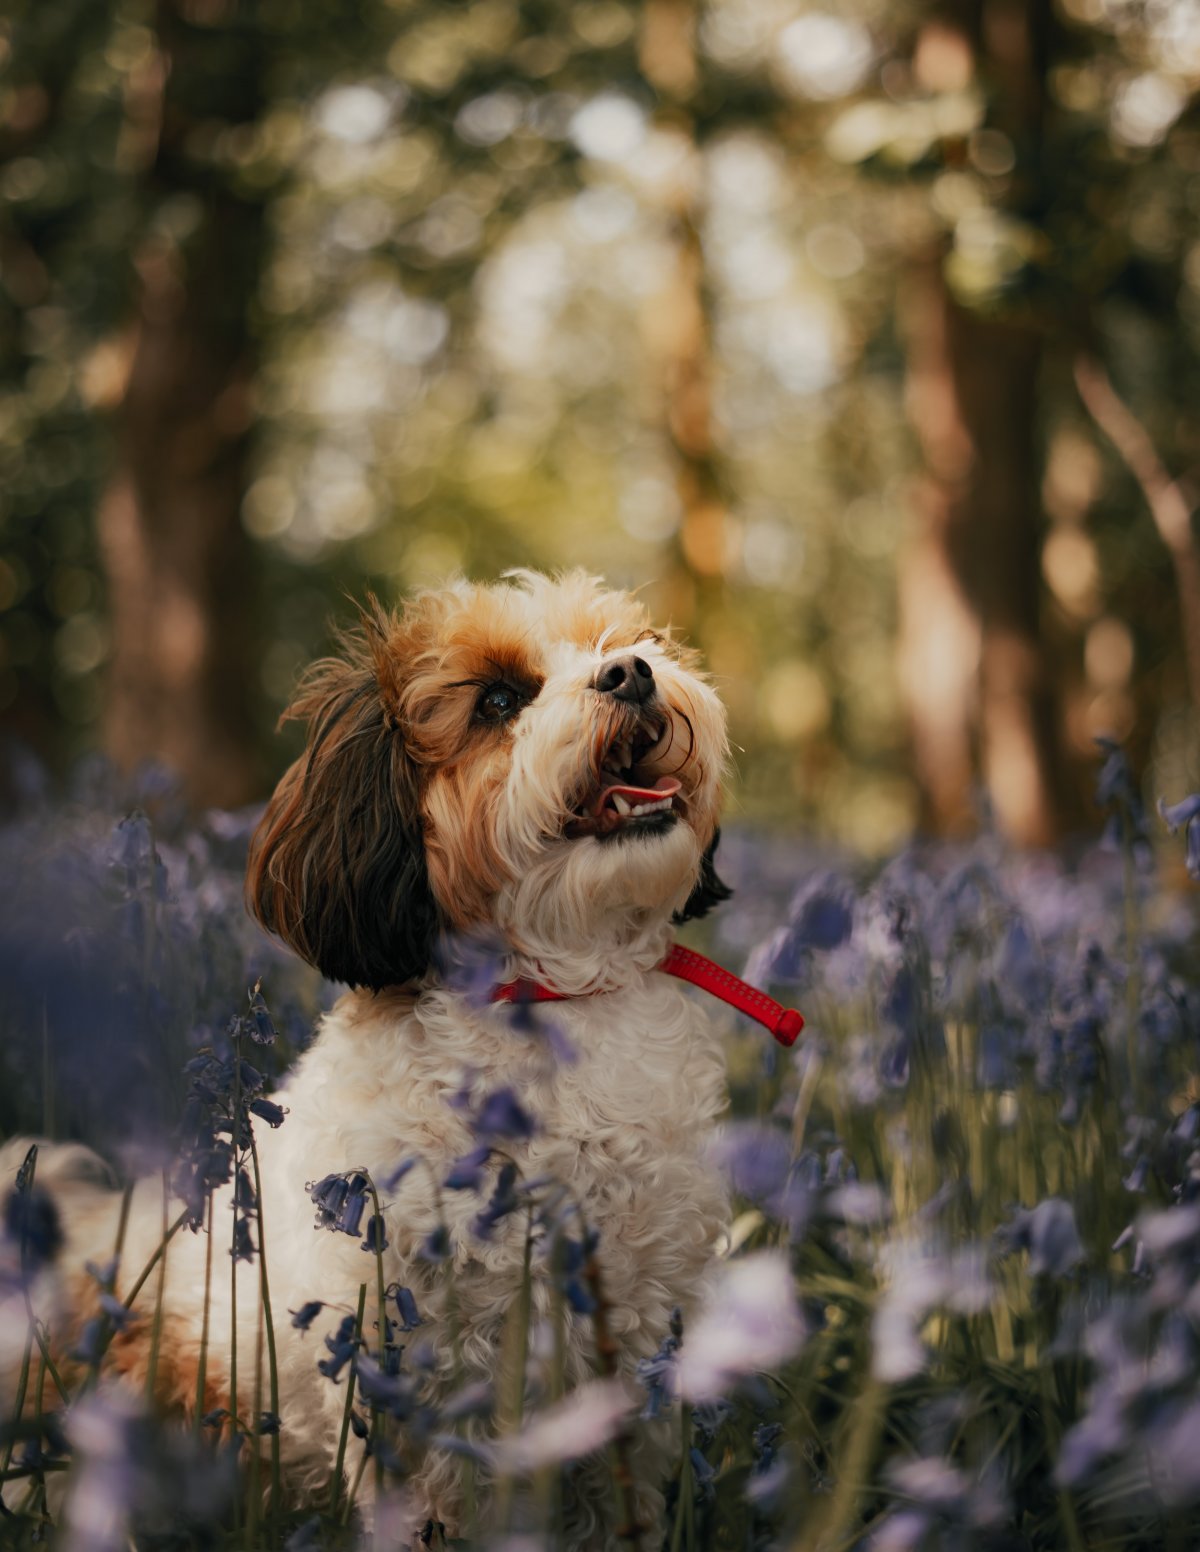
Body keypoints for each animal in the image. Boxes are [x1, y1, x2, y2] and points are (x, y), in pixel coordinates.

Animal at [2, 577, 729, 1545]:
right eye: (499, 701)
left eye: (625, 643)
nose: (632, 674)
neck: (553, 999)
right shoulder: (420, 1363)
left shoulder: (642, 1327)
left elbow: (630, 1492)